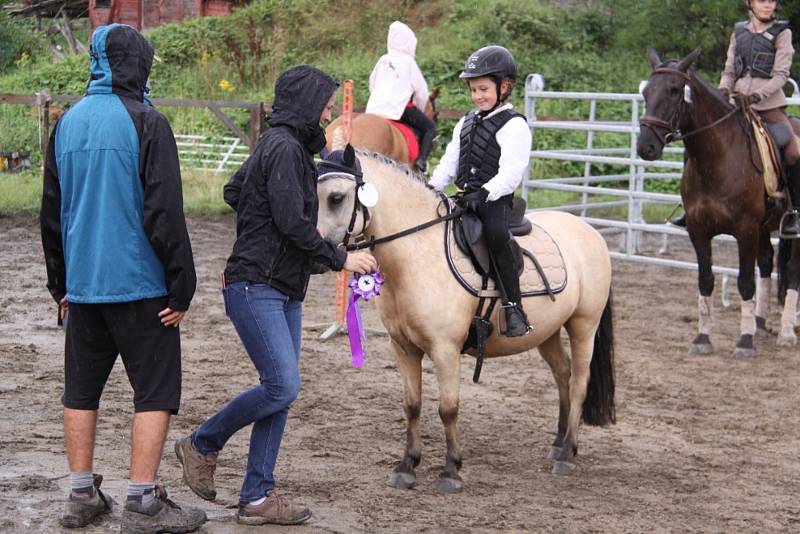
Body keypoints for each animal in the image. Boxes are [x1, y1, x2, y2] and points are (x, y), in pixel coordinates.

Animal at [636, 48, 800, 358]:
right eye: (646, 92)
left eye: (674, 90)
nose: (645, 147)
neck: (717, 158)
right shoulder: (698, 230)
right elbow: (706, 280)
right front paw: (702, 338)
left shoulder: (745, 229)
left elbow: (745, 282)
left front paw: (744, 342)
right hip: (765, 228)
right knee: (767, 263)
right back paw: (761, 324)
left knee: (792, 272)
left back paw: (786, 333)